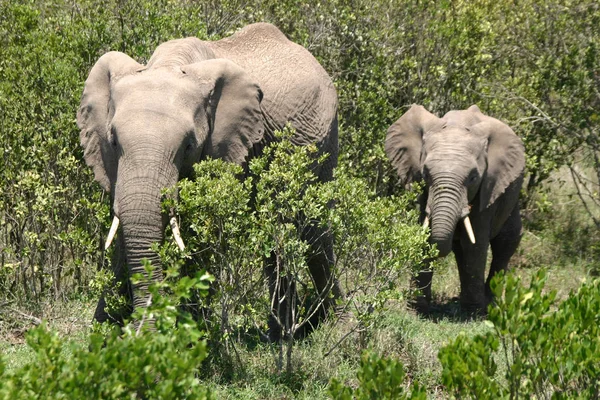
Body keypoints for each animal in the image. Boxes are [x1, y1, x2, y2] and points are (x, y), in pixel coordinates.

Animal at [77, 23, 344, 340]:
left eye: (189, 145)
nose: (141, 332)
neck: (170, 64)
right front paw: (101, 334)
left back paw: (336, 326)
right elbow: (122, 235)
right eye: (114, 141)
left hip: (322, 139)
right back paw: (280, 335)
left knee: (315, 231)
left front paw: (193, 337)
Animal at [386, 104, 524, 314]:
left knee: (506, 242)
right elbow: (425, 236)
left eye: (473, 178)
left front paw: (473, 313)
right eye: (425, 174)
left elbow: (474, 245)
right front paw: (417, 310)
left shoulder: (488, 188)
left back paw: (489, 304)